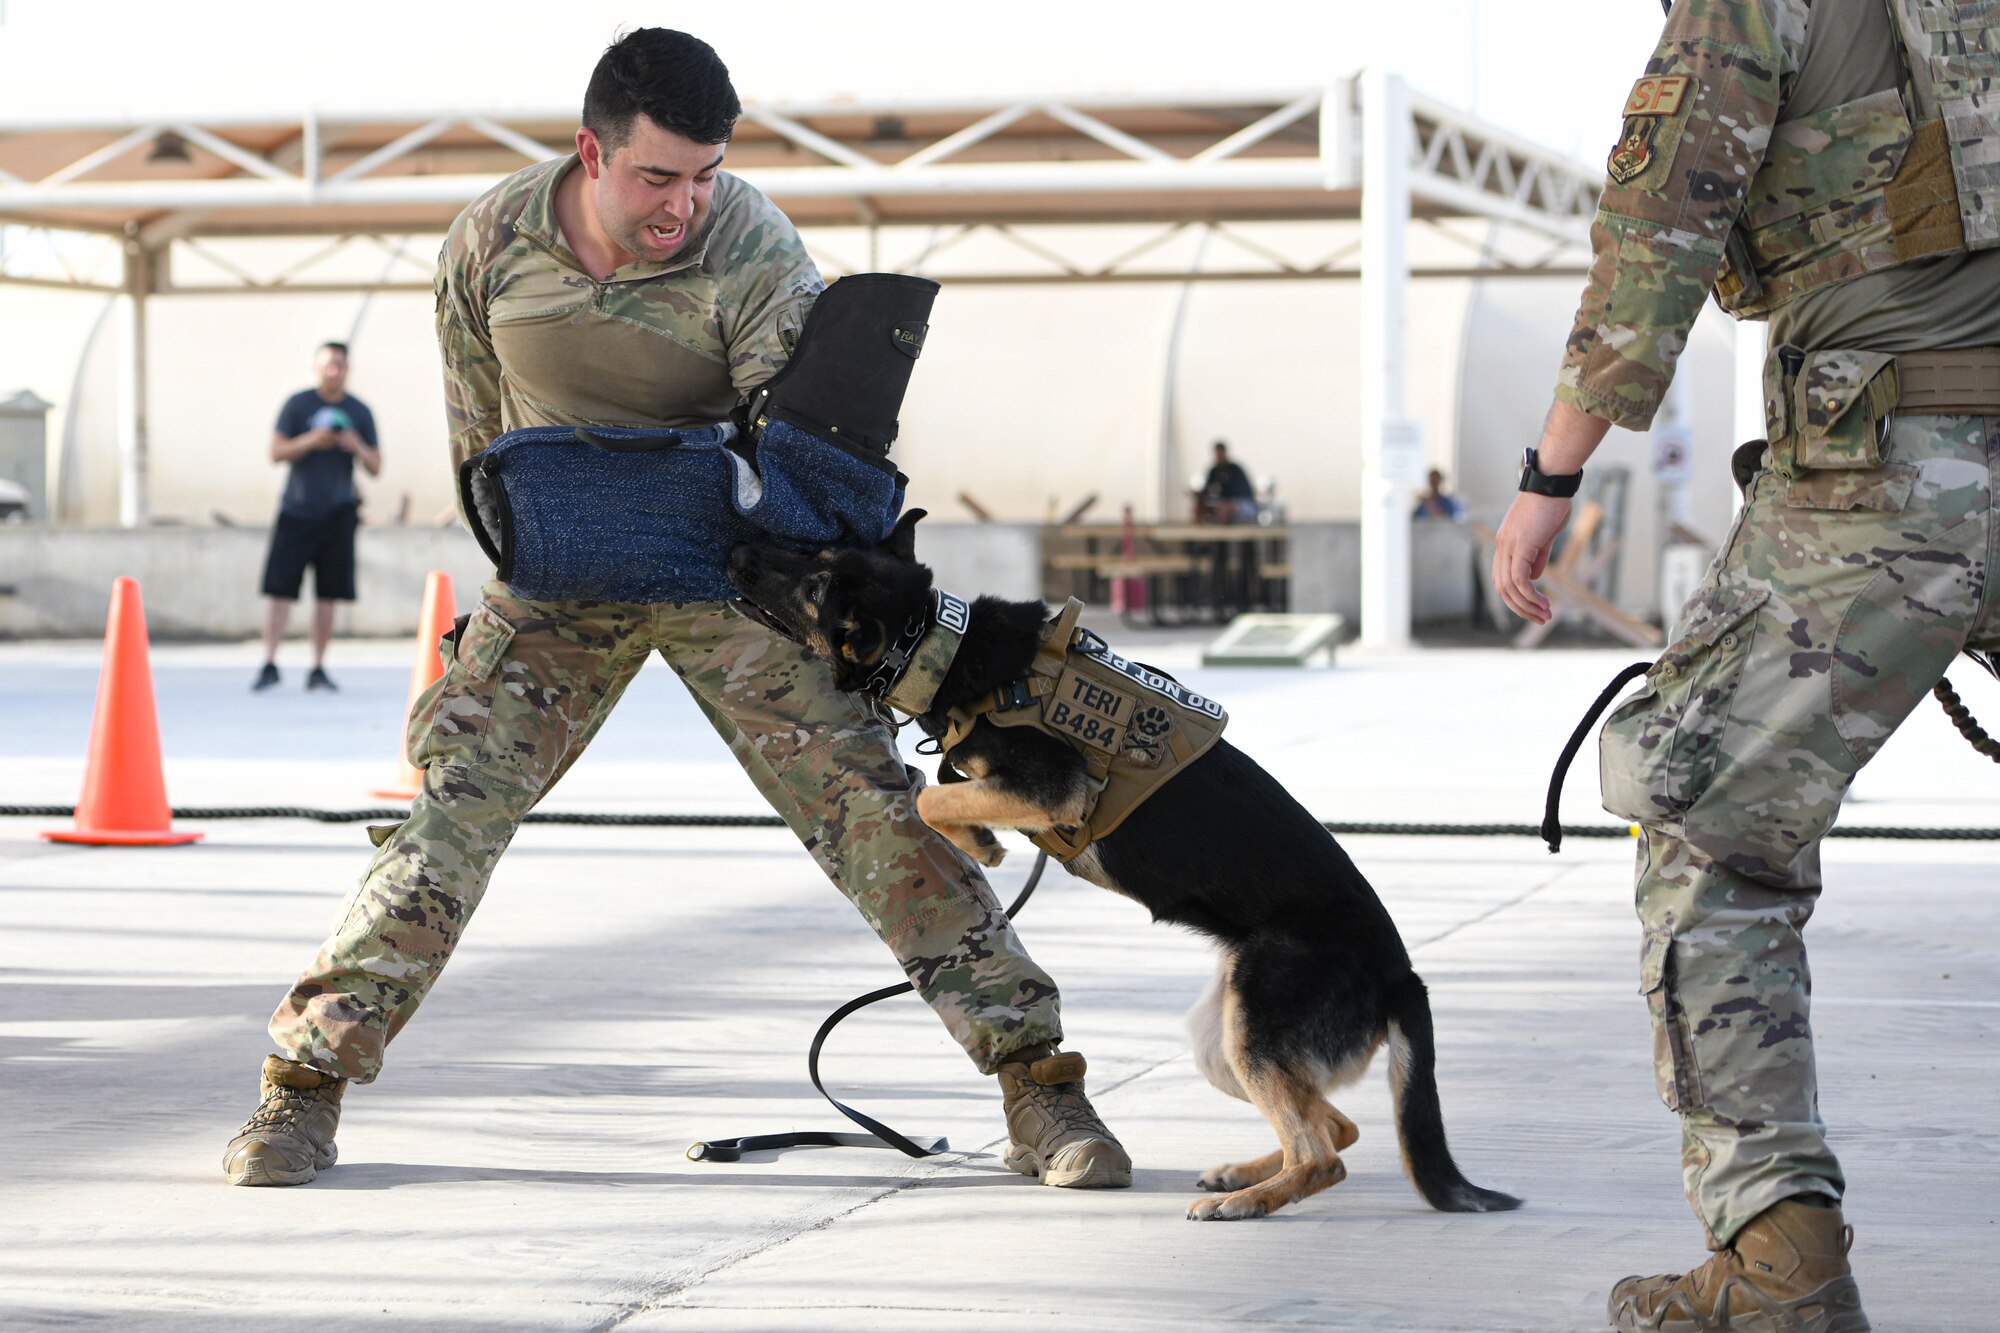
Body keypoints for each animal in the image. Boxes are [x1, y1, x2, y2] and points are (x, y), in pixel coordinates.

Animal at [728, 512, 1520, 1216]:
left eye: (814, 582)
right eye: (815, 556)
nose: (736, 546)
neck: (941, 643)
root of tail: (1400, 974)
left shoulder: (1054, 788)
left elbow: (930, 797)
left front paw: (981, 841)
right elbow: (941, 791)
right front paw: (979, 833)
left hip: (1254, 1029)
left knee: (1323, 1154)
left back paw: (1246, 1201)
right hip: (1222, 1039)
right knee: (1338, 1127)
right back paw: (1243, 1173)